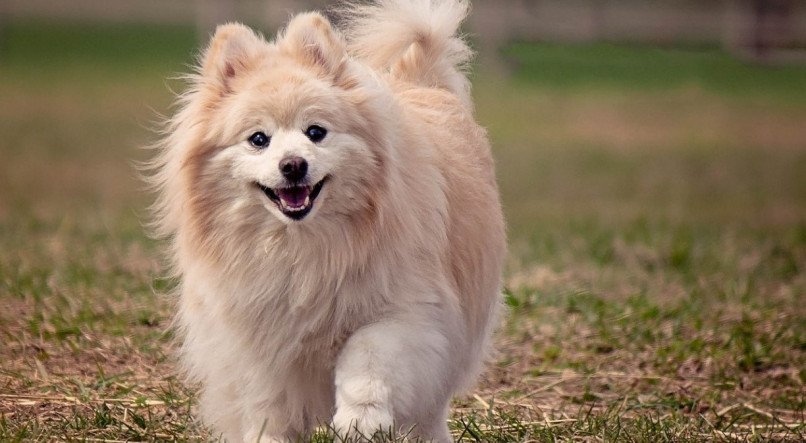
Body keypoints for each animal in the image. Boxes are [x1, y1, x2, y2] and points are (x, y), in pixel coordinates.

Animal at [147, 0, 504, 440]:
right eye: (258, 139)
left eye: (315, 132)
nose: (293, 165)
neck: (302, 248)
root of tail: (421, 81)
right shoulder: (258, 335)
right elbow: (268, 401)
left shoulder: (406, 310)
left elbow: (367, 358)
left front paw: (360, 419)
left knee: (429, 407)